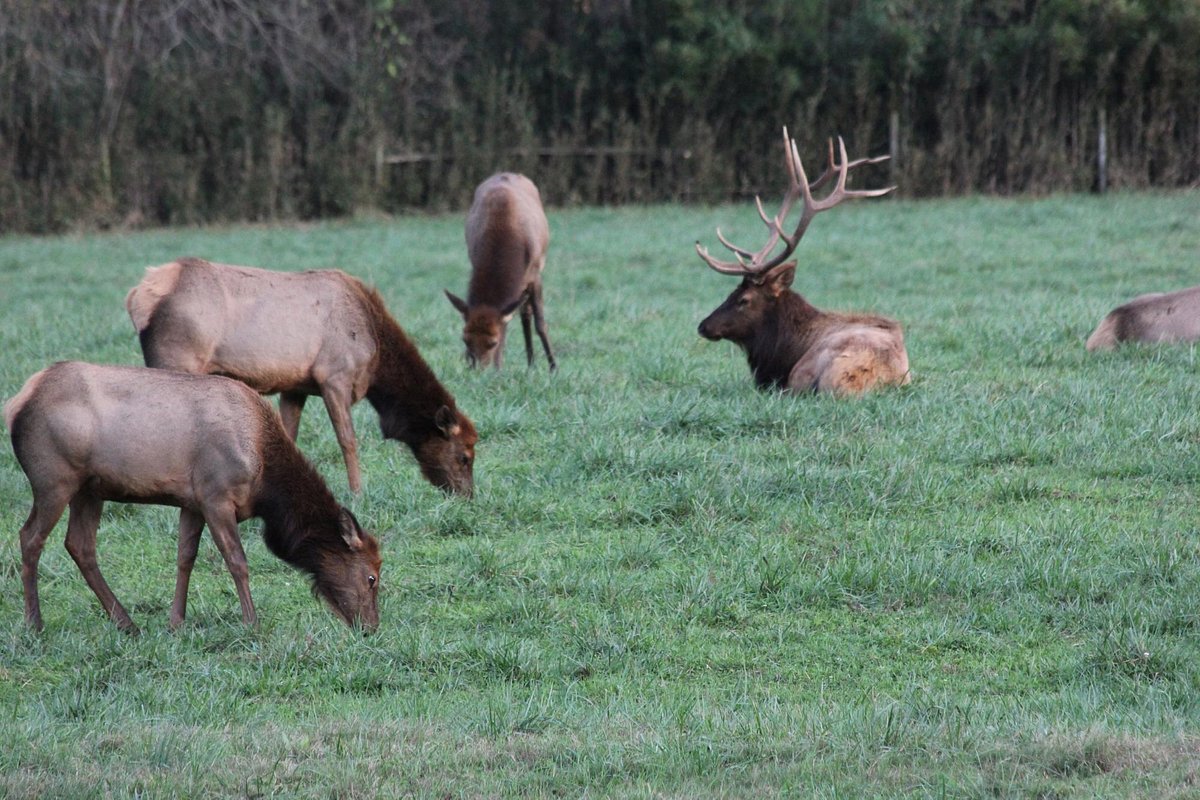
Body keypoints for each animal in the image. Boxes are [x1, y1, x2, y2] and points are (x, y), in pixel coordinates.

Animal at [3, 362, 379, 633]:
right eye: (372, 577)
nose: (371, 627)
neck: (264, 479)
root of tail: (16, 403)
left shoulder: (191, 502)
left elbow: (185, 557)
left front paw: (176, 622)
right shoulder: (216, 495)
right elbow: (237, 561)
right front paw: (253, 623)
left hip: (89, 489)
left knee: (79, 545)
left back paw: (126, 622)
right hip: (54, 480)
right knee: (30, 537)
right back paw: (35, 624)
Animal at [124, 257, 475, 494]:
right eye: (464, 456)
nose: (466, 497)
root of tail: (138, 298)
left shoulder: (295, 386)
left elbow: (288, 436)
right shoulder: (334, 375)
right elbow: (348, 440)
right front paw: (357, 492)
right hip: (178, 360)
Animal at [444, 173, 554, 371]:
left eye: (493, 342)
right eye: (465, 339)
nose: (478, 370)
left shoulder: (535, 276)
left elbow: (540, 324)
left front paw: (553, 367)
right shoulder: (474, 259)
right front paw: (497, 366)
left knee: (526, 314)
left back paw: (532, 363)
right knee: (524, 312)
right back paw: (530, 363)